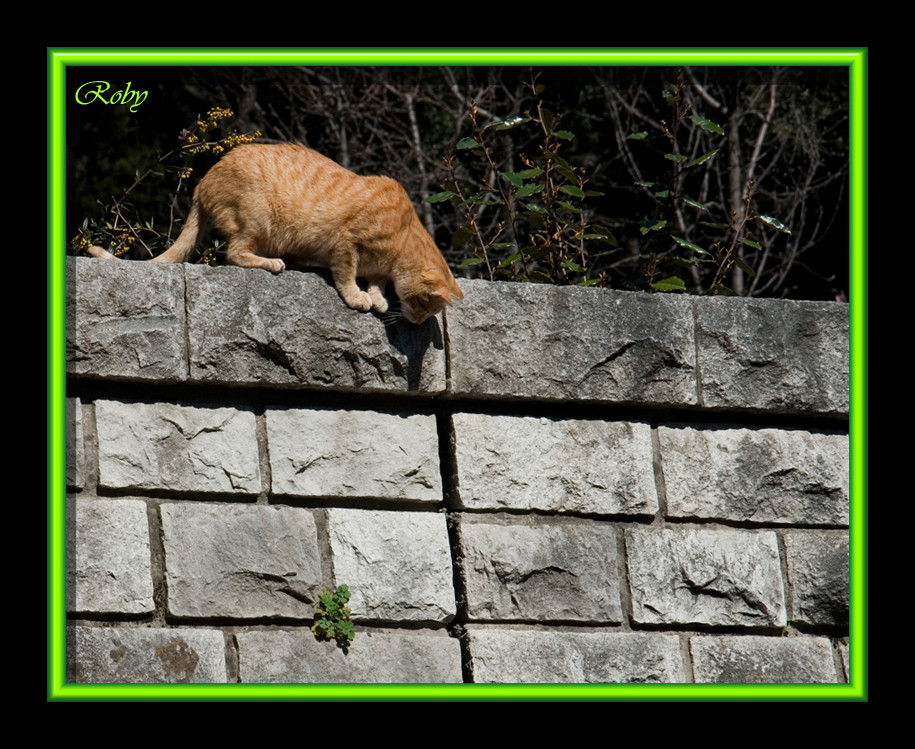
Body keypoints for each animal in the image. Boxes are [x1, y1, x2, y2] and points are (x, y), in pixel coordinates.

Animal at [87, 143, 466, 324]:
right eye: (425, 306)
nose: (417, 323)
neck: (401, 236)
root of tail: (203, 181)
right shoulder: (345, 243)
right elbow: (347, 275)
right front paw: (358, 296)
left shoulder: (376, 266)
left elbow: (376, 281)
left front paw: (376, 296)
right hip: (257, 219)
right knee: (234, 254)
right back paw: (272, 264)